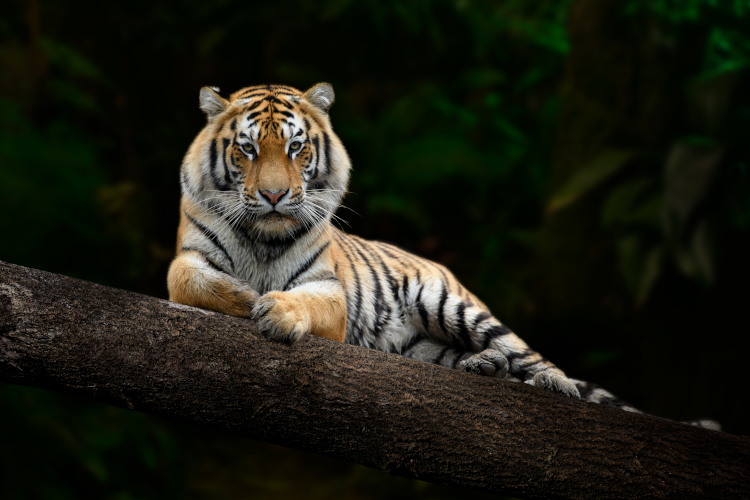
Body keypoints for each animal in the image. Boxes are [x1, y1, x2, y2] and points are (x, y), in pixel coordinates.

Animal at [166, 83, 724, 430]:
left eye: (297, 148)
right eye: (248, 150)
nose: (275, 196)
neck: (264, 236)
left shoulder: (327, 289)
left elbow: (305, 301)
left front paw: (276, 310)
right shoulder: (186, 261)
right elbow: (199, 284)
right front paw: (246, 296)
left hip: (452, 304)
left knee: (533, 357)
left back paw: (550, 383)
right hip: (422, 348)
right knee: (482, 361)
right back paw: (484, 367)